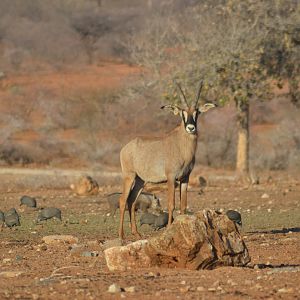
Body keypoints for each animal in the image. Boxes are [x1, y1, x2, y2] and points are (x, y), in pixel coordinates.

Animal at [119, 80, 216, 239]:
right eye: (182, 113)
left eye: (197, 112)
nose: (191, 128)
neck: (181, 145)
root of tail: (126, 147)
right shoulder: (171, 178)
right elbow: (172, 204)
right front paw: (170, 228)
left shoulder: (185, 178)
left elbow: (183, 206)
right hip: (129, 176)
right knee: (122, 200)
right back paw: (121, 236)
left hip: (140, 180)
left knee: (131, 200)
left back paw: (136, 233)